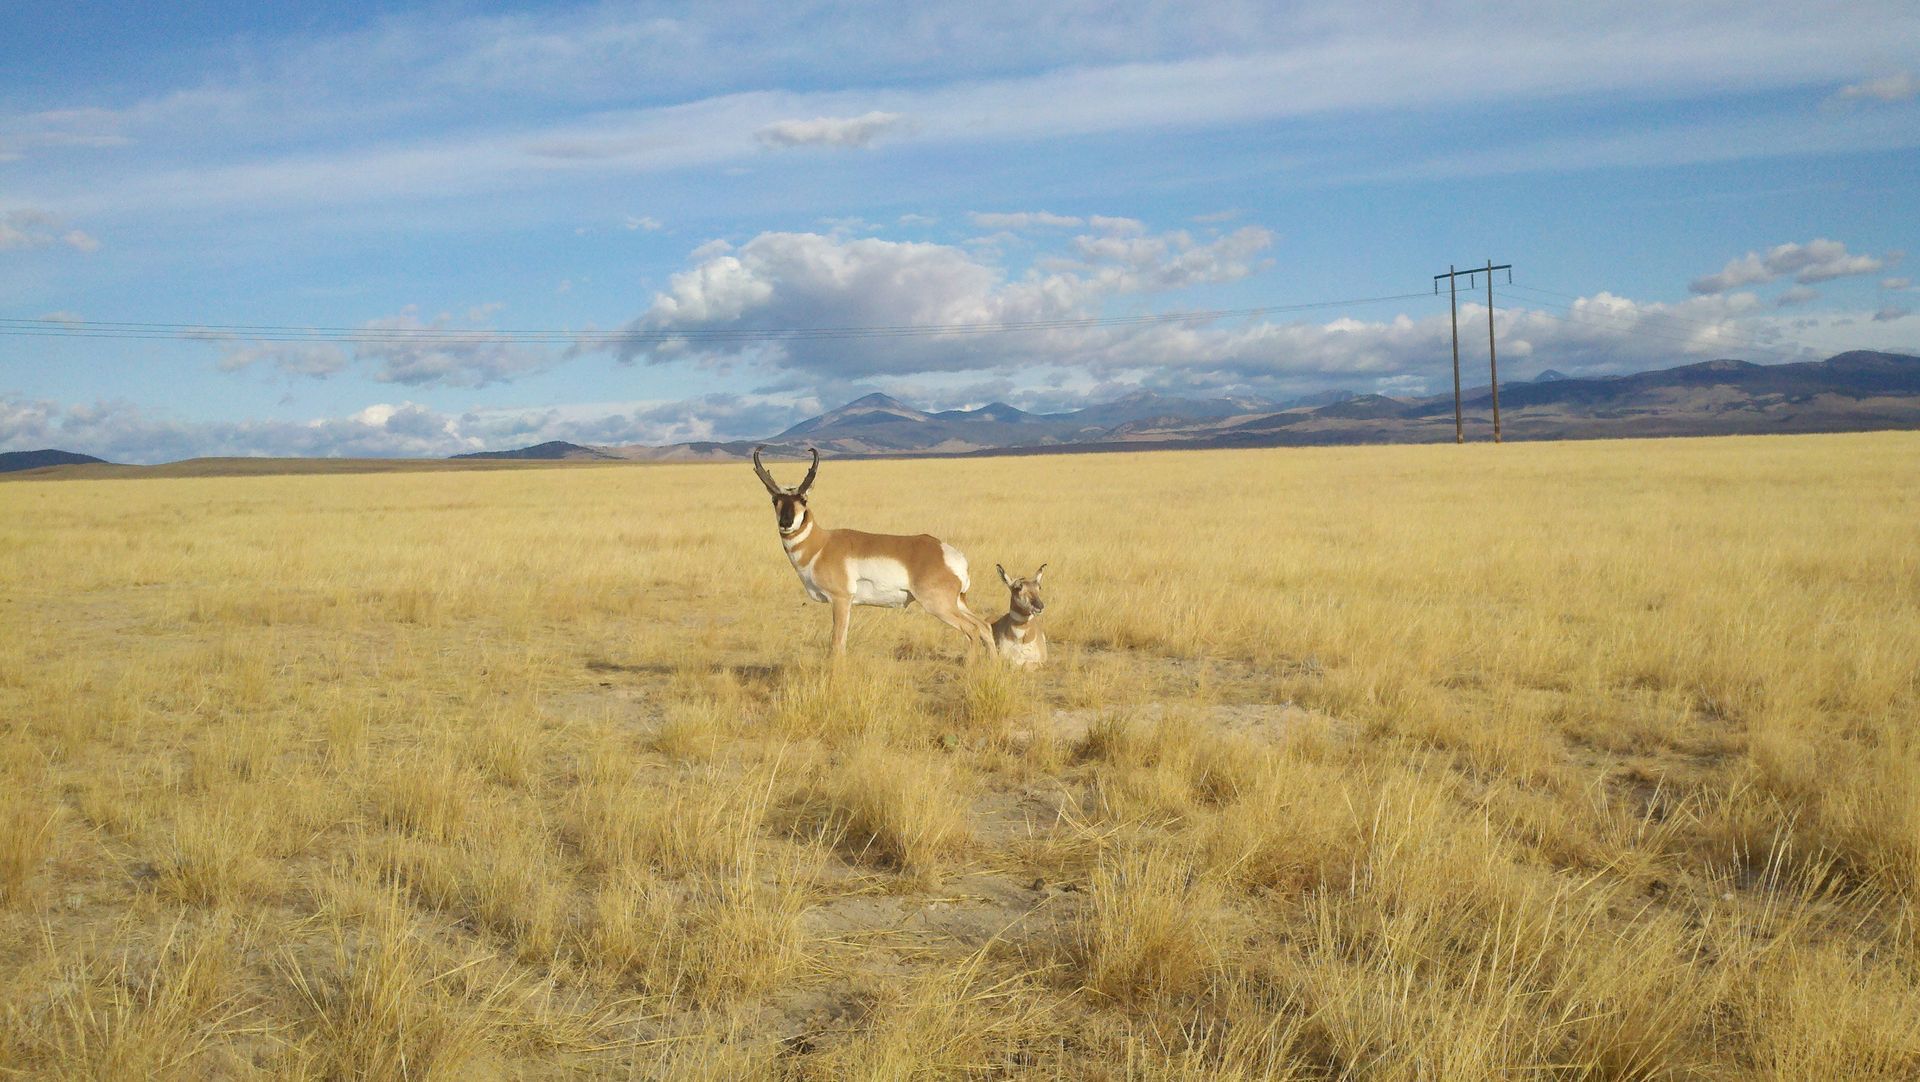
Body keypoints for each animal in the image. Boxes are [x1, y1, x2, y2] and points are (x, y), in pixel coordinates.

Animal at [752, 446, 995, 656]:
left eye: (803, 499)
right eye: (775, 500)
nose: (786, 523)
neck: (821, 545)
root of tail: (949, 554)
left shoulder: (841, 601)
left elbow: (836, 645)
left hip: (938, 605)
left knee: (972, 630)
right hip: (958, 603)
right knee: (985, 626)